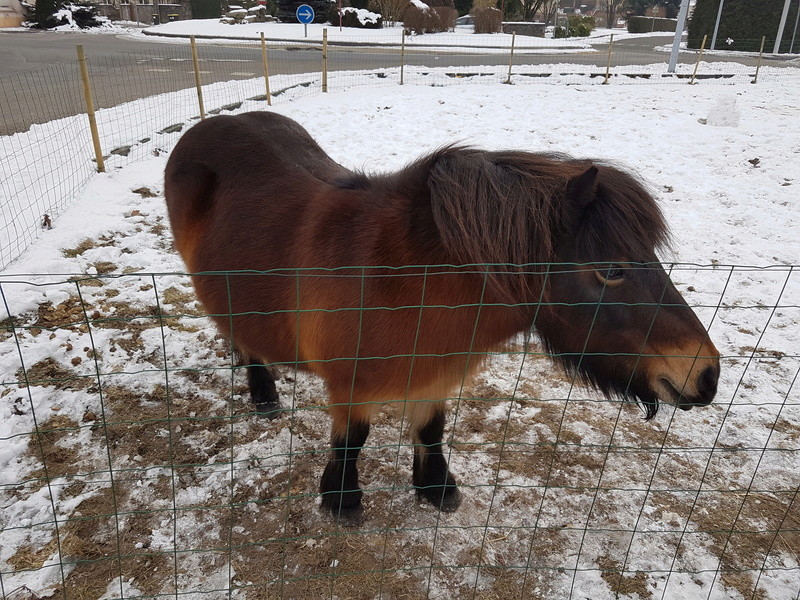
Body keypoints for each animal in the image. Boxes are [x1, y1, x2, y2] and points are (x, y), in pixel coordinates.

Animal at [166, 110, 720, 524]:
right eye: (612, 270)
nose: (707, 375)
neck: (404, 280)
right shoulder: (349, 386)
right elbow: (352, 441)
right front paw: (342, 500)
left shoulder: (436, 373)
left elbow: (431, 429)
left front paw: (435, 489)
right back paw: (263, 393)